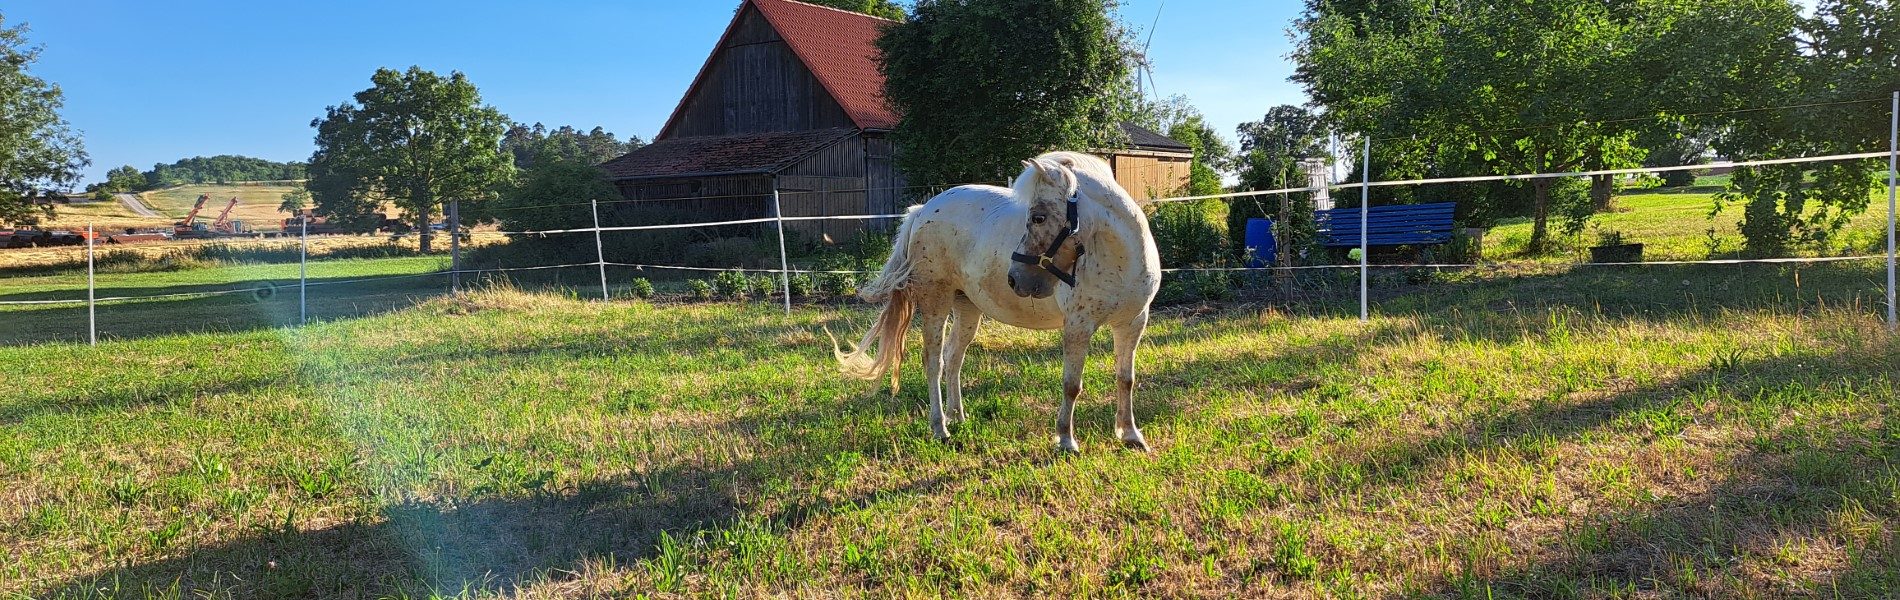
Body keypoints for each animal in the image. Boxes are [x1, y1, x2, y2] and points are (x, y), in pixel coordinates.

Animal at [831, 151, 1162, 452]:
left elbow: (1126, 379)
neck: (1120, 258)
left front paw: (1131, 435)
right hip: (935, 300)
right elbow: (1072, 385)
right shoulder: (1078, 326)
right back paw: (940, 429)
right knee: (934, 361)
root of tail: (923, 209)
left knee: (954, 357)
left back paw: (957, 416)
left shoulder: (1132, 323)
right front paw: (1066, 441)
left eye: (1038, 217)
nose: (1015, 279)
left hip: (967, 306)